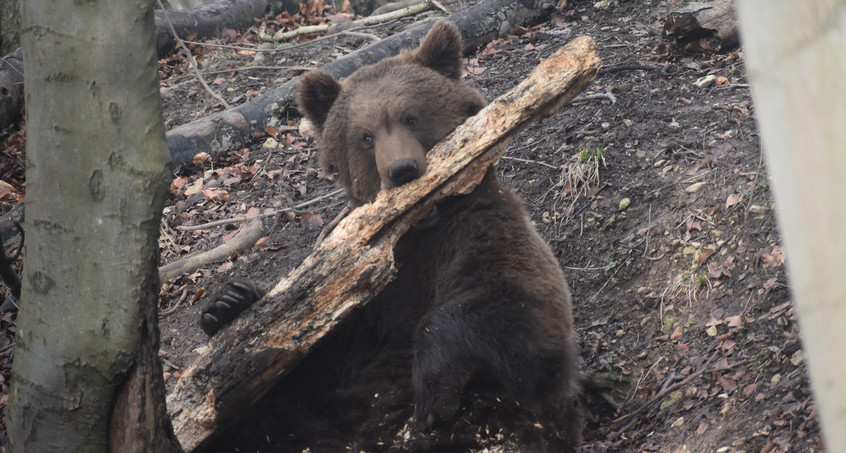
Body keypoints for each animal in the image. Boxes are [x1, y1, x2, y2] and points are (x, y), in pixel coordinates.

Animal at [202, 20, 584, 452]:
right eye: (365, 136)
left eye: (412, 117)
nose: (402, 169)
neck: (417, 228)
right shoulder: (363, 304)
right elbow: (304, 362)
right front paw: (228, 303)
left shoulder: (482, 232)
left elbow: (526, 307)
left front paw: (433, 390)